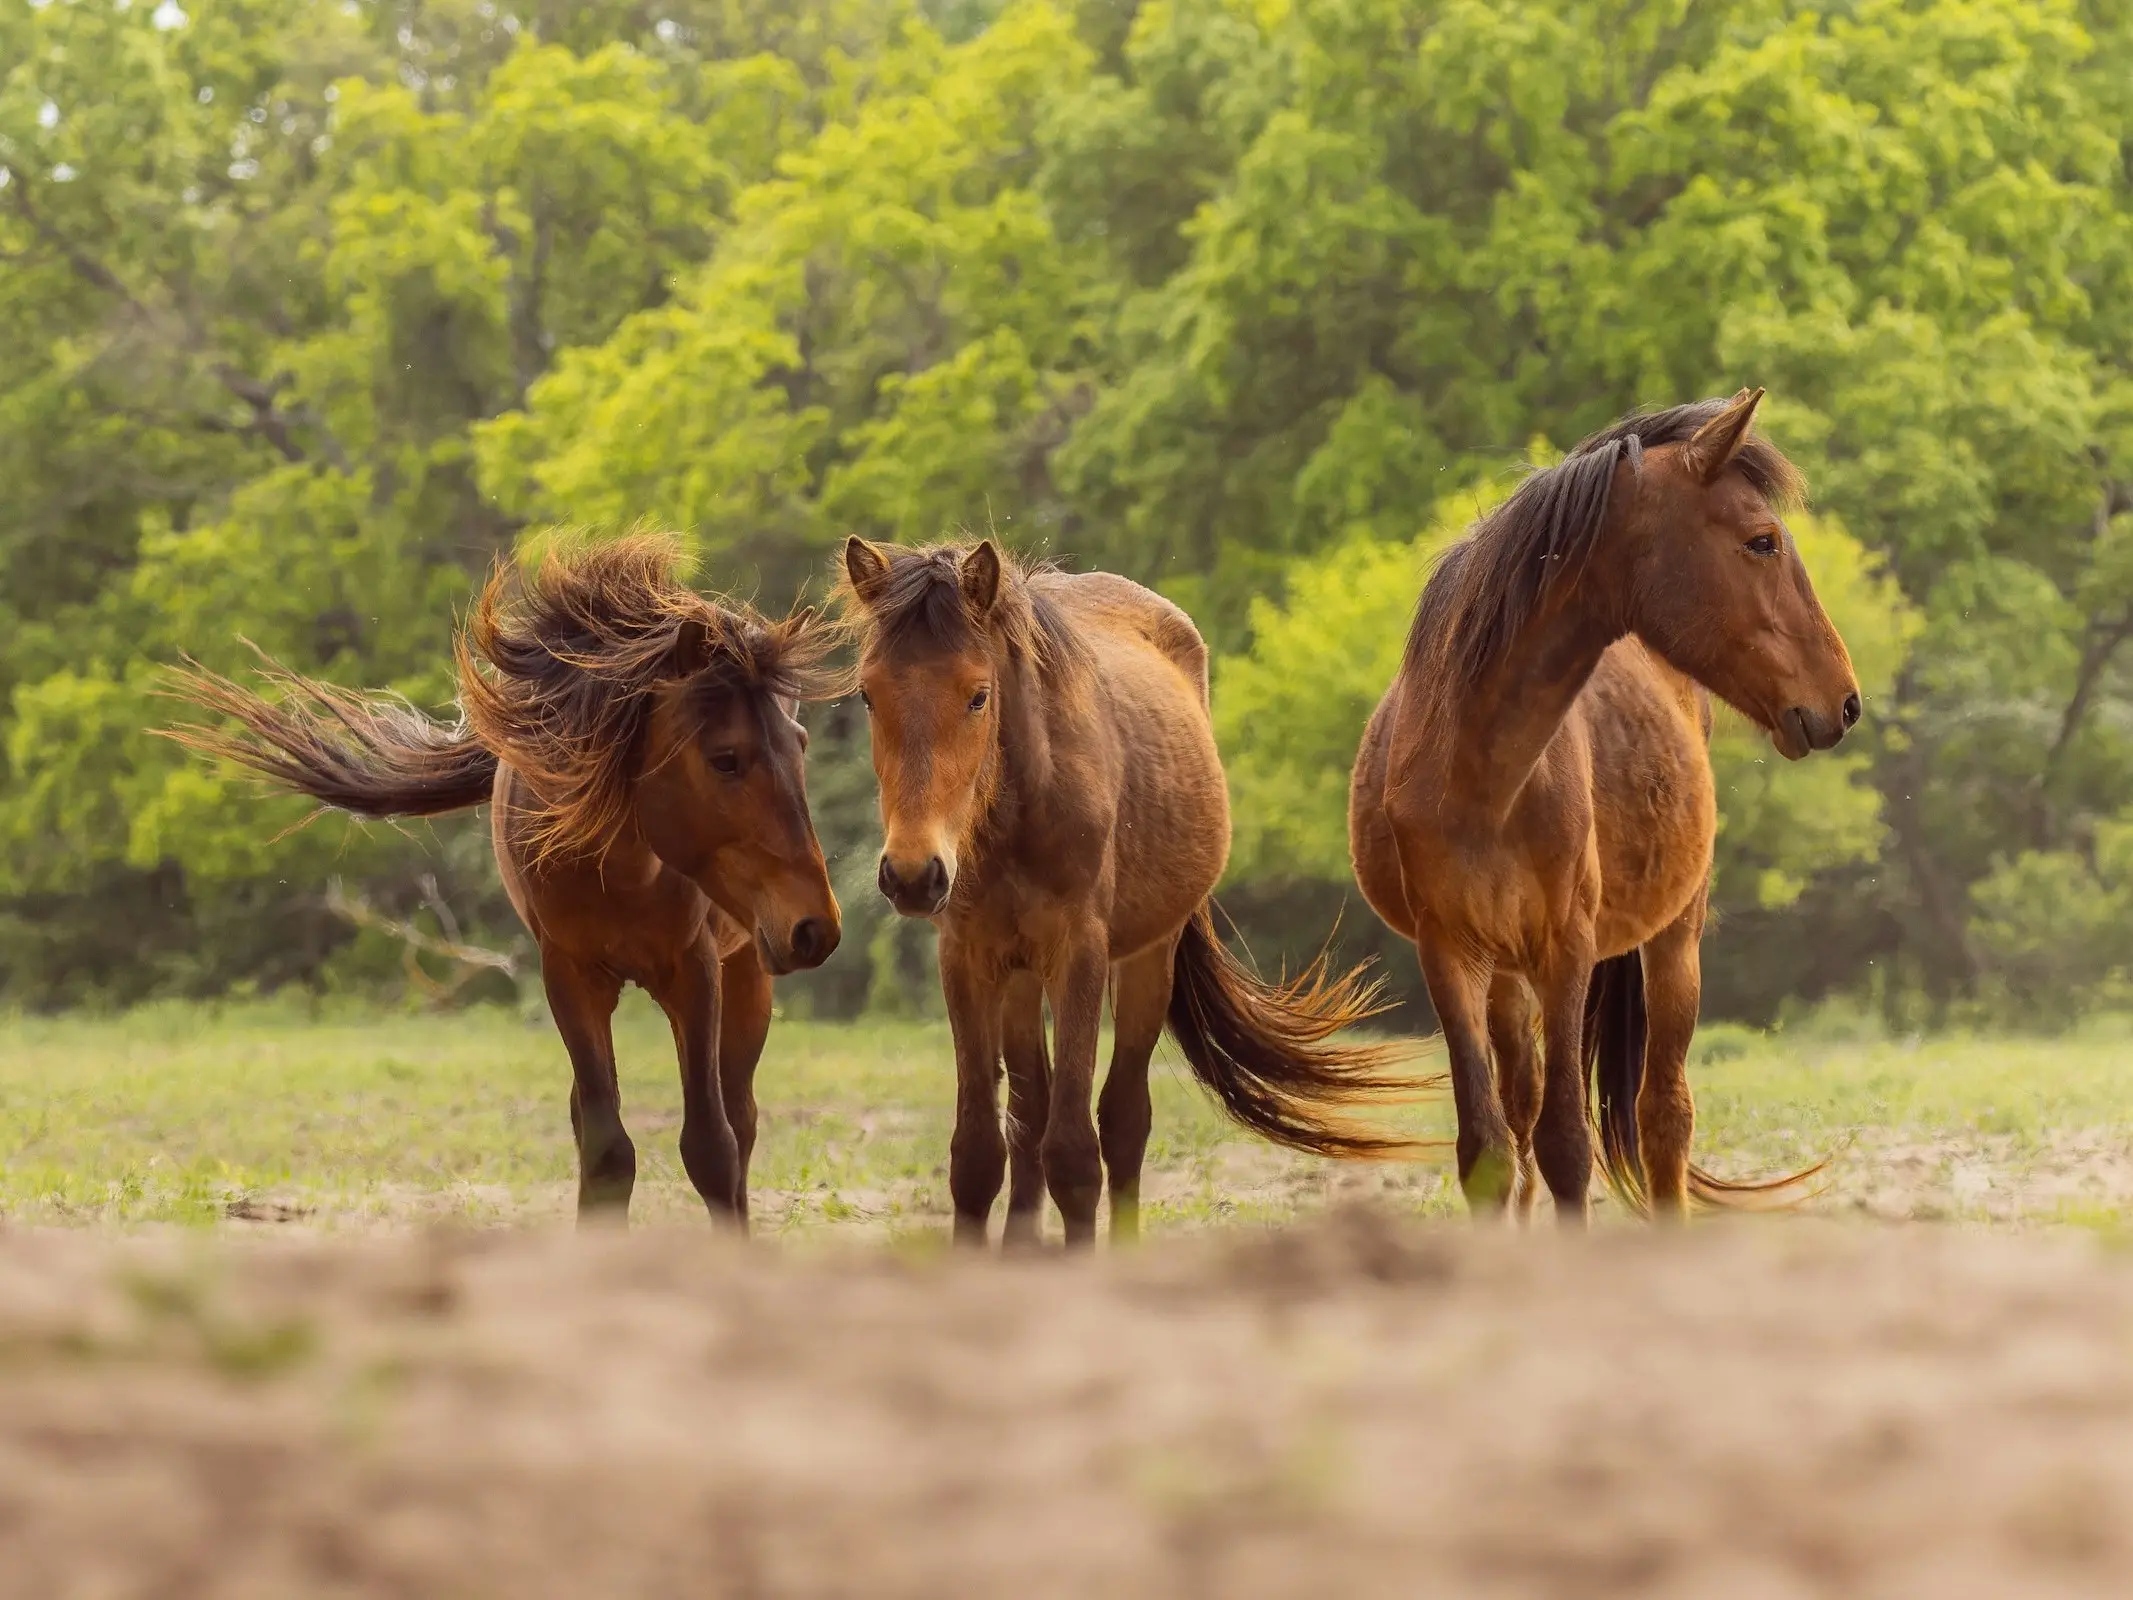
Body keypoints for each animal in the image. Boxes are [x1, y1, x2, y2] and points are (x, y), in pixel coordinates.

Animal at [164, 535, 840, 1228]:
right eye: (725, 758)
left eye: (800, 743)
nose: (815, 927)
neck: (619, 867)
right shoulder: (568, 975)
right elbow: (606, 1149)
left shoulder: (695, 970)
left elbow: (711, 1147)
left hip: (748, 970)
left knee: (742, 1118)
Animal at [840, 546, 1424, 1262]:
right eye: (868, 694)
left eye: (978, 695)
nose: (912, 873)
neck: (1021, 808)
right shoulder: (968, 959)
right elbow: (977, 1153)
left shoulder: (1081, 957)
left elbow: (1074, 1152)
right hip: (1020, 976)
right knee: (1029, 1114)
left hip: (1147, 959)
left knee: (1121, 1118)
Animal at [1356, 392, 1859, 1228]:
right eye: (1761, 541)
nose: (1843, 701)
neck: (1481, 774)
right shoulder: (1448, 953)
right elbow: (1489, 1148)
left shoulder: (1567, 948)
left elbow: (1566, 1142)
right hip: (1506, 973)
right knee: (1523, 1104)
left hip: (1672, 941)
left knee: (1662, 1115)